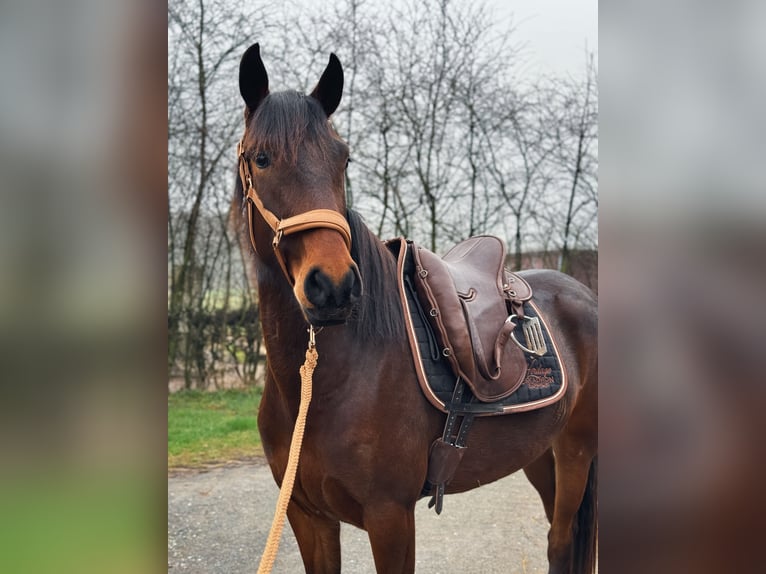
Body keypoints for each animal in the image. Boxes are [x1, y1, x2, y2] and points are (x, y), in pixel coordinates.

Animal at [234, 42, 600, 572]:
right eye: (261, 159)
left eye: (343, 159)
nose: (334, 286)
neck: (323, 385)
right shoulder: (307, 516)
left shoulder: (390, 516)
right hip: (540, 454)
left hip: (577, 450)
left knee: (561, 539)